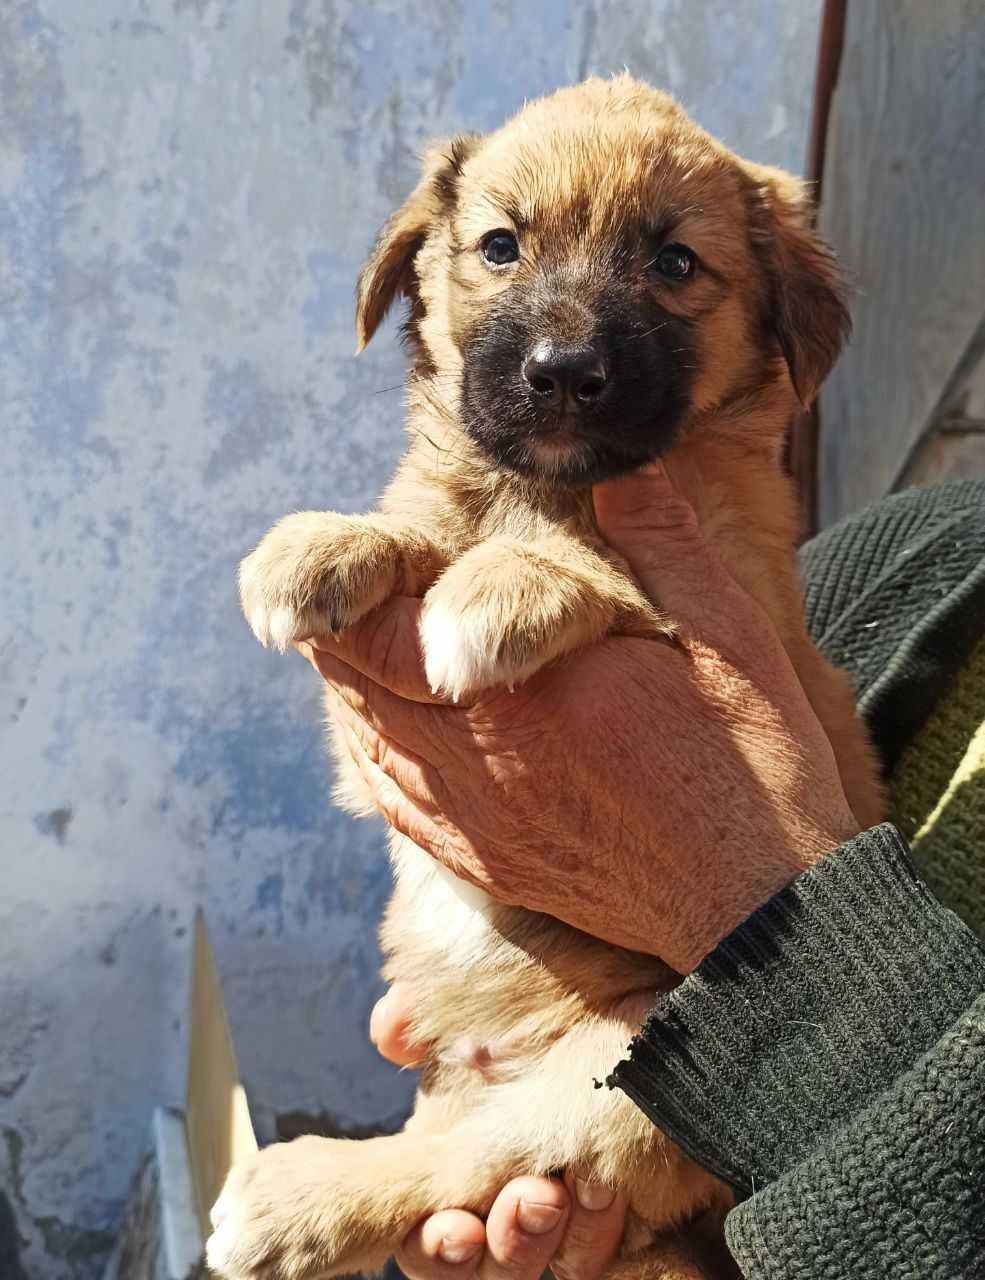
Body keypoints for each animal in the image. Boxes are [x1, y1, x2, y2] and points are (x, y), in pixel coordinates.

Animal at [209, 72, 880, 1280]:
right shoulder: (364, 748)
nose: (563, 375)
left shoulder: (734, 614)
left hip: (624, 1082)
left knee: (453, 1161)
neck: (551, 489)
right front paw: (324, 541)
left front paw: (507, 586)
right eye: (499, 246)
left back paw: (293, 1199)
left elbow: (600, 576)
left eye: (674, 262)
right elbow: (422, 532)